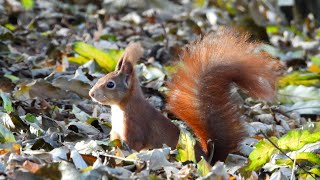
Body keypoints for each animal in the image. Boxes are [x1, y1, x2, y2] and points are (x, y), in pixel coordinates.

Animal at [88, 29, 280, 163]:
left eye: (110, 84)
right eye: (101, 78)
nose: (91, 94)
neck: (121, 108)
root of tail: (208, 158)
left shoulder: (135, 128)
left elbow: (135, 145)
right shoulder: (116, 131)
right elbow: (115, 141)